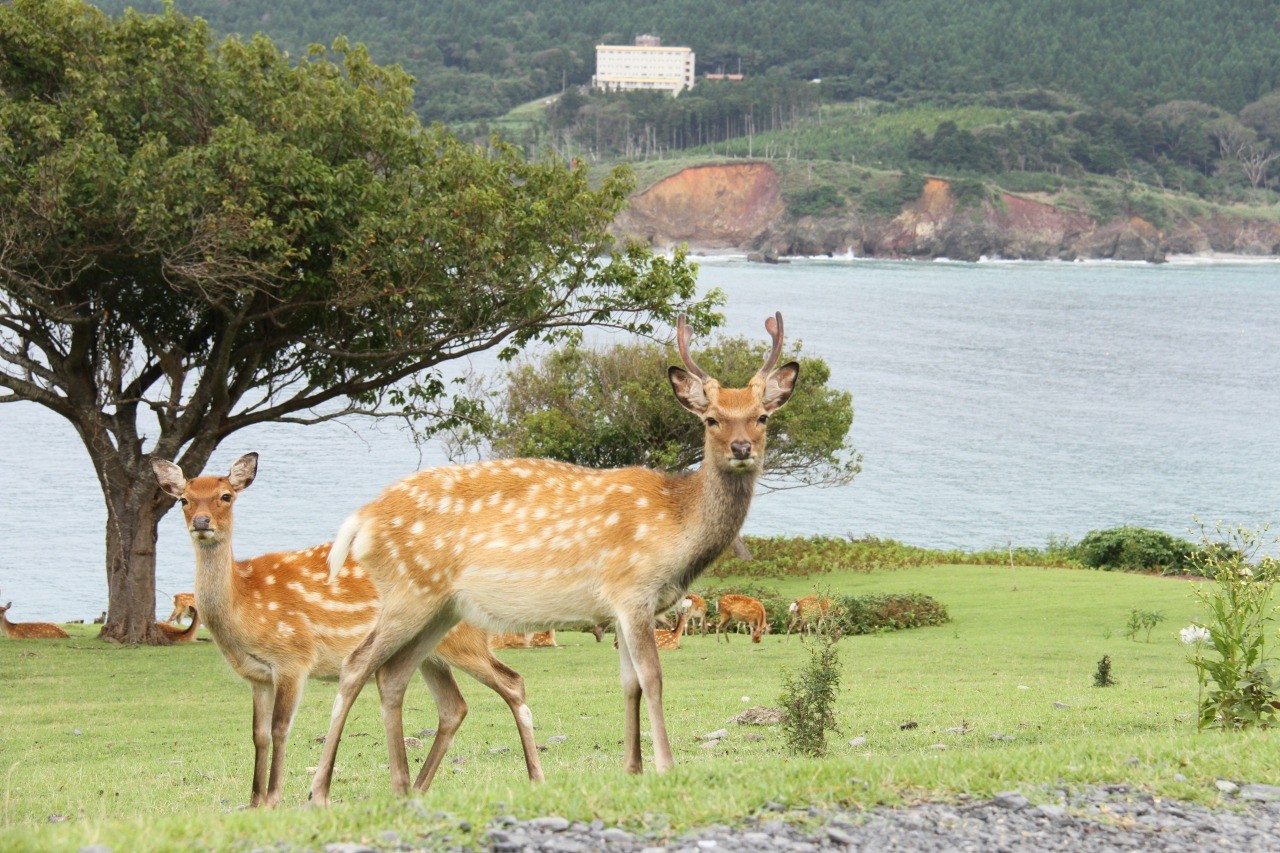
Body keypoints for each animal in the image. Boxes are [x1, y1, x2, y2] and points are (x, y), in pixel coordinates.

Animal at [151, 450, 545, 804]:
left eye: (226, 496)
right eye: (184, 499)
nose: (202, 522)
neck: (243, 606)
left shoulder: (293, 657)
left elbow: (280, 729)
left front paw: (274, 799)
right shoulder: (256, 676)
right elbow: (258, 735)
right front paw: (253, 802)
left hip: (462, 641)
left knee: (512, 681)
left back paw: (535, 777)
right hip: (431, 653)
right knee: (454, 706)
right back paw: (418, 787)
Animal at [307, 312, 798, 804]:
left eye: (762, 416)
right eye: (712, 419)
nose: (741, 448)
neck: (677, 527)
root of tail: (360, 520)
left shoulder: (619, 608)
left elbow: (628, 683)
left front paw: (632, 769)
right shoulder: (632, 589)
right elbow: (653, 677)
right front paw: (665, 767)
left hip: (440, 609)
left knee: (392, 674)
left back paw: (402, 787)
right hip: (411, 592)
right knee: (356, 666)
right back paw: (322, 793)